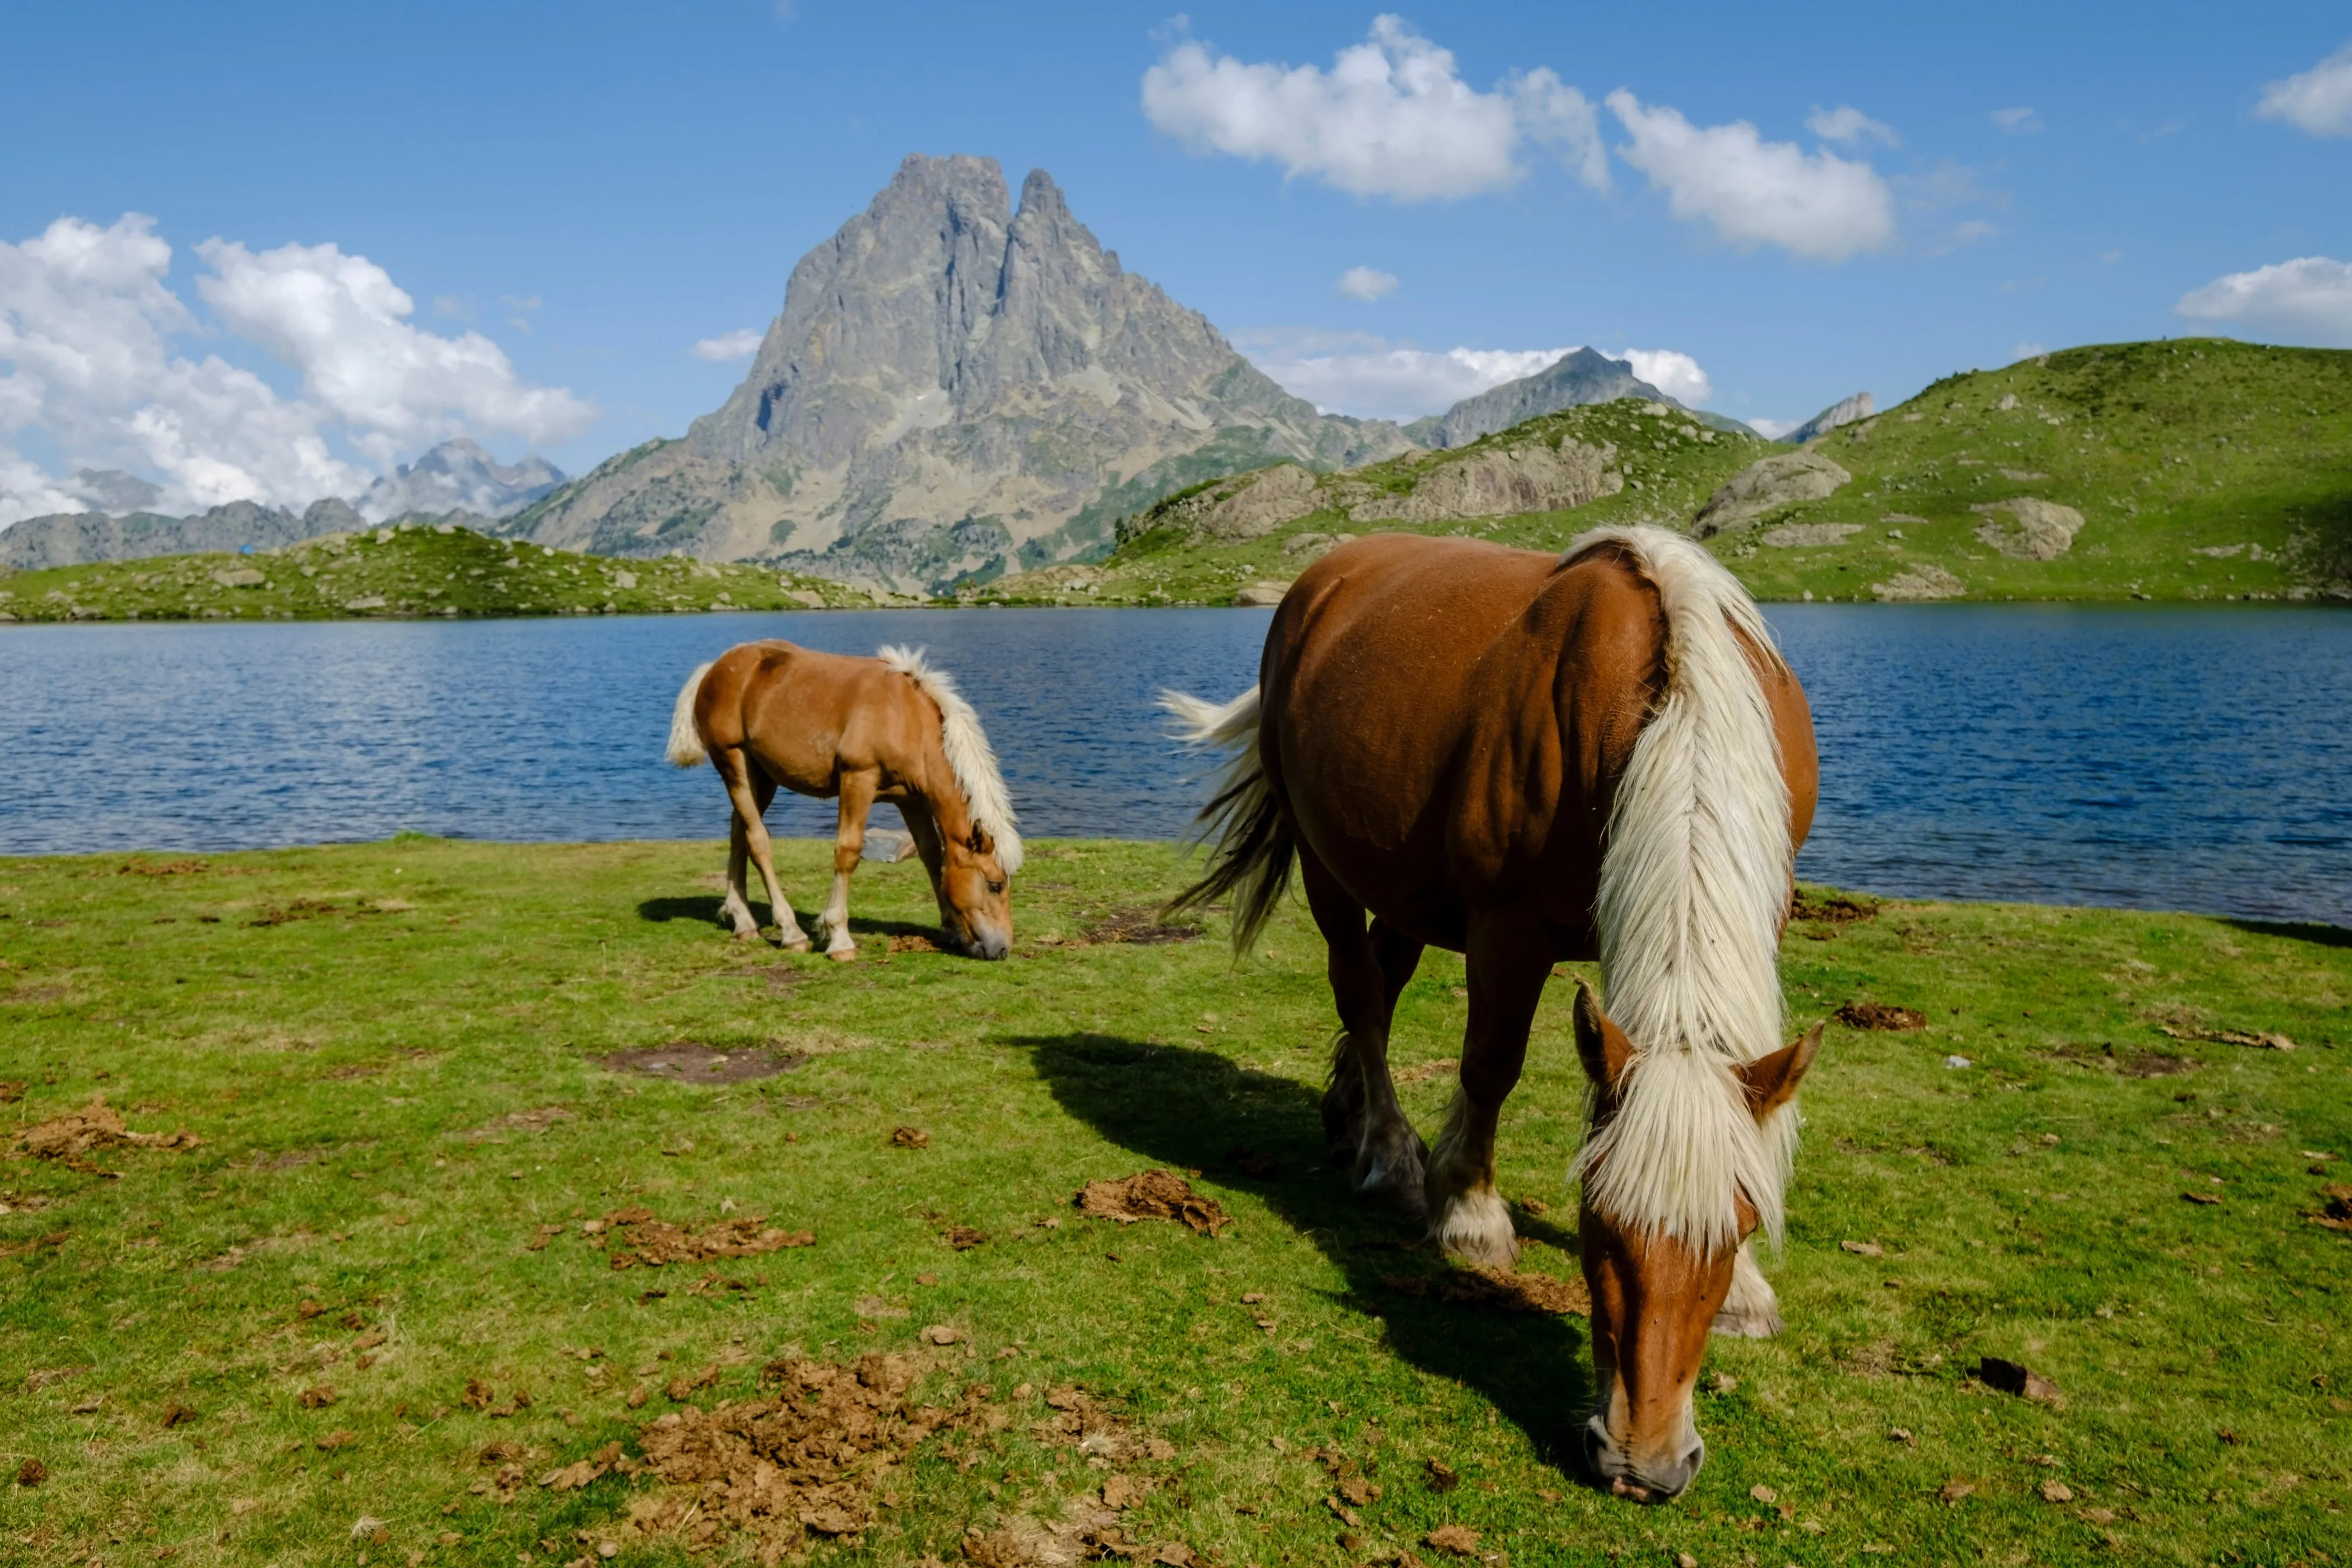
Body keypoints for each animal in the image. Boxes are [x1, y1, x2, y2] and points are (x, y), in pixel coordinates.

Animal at [665, 641, 1021, 960]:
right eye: (995, 885)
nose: (1002, 949)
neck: (906, 719)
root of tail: (715, 668)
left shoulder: (913, 799)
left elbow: (932, 854)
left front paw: (953, 929)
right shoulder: (858, 780)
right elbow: (847, 852)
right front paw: (839, 938)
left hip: (762, 778)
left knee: (738, 832)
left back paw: (743, 921)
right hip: (733, 762)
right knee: (757, 840)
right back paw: (791, 932)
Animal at [1165, 526, 1820, 1502]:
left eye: (1737, 1227)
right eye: (1596, 1221)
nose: (1644, 1463)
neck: (1662, 691)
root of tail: (1322, 580)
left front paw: (1745, 1289)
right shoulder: (1507, 928)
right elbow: (1490, 1064)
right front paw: (1470, 1211)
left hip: (1400, 883)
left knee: (1385, 976)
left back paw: (1349, 1114)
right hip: (1328, 865)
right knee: (1362, 993)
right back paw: (1389, 1157)